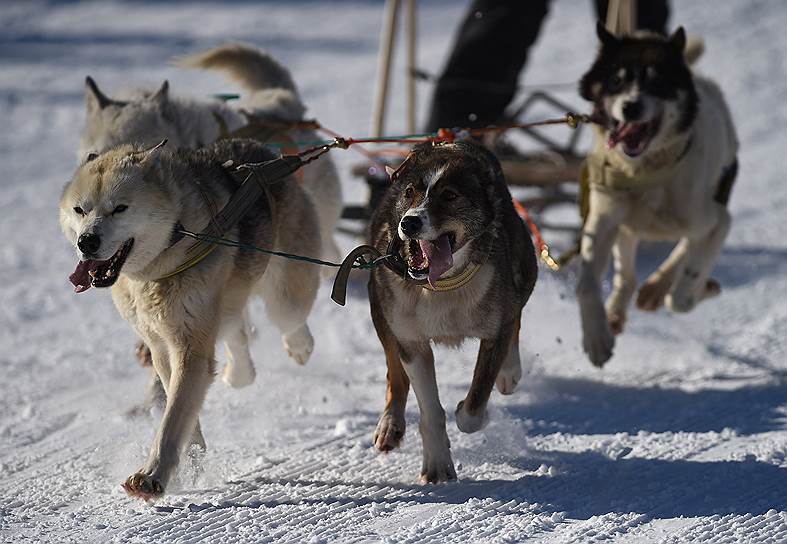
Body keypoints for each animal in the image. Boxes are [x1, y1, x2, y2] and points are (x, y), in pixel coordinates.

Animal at [57, 138, 320, 500]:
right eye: (80, 210)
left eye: (119, 208)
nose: (87, 242)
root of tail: (260, 149)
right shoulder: (162, 347)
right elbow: (180, 410)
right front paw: (192, 459)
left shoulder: (189, 347)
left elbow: (172, 419)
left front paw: (152, 475)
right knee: (237, 331)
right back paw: (239, 371)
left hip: (283, 296)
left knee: (291, 319)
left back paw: (299, 346)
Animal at [366, 142, 540, 482]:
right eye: (410, 192)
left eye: (449, 195)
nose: (409, 222)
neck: (441, 286)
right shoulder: (411, 341)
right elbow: (429, 409)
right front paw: (437, 464)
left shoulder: (495, 331)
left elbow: (474, 407)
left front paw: (469, 411)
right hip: (381, 310)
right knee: (395, 373)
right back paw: (390, 424)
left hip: (525, 273)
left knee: (515, 317)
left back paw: (509, 372)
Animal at [580, 23, 740, 368]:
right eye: (616, 80)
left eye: (658, 81)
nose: (631, 106)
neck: (646, 173)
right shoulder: (602, 221)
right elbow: (586, 284)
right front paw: (596, 338)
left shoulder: (718, 221)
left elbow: (681, 297)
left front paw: (696, 289)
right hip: (625, 226)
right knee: (626, 276)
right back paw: (616, 310)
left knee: (685, 249)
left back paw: (659, 286)